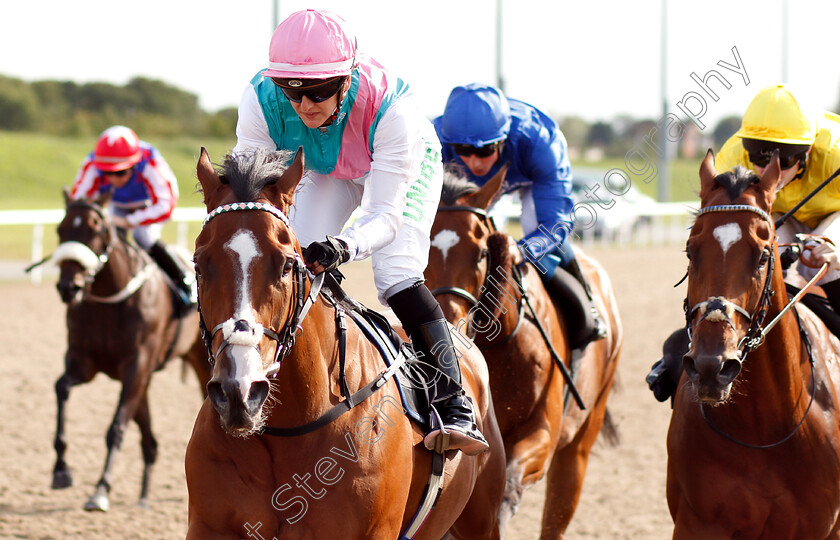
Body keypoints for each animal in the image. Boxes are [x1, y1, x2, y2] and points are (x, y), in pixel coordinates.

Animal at [51, 189, 212, 510]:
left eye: (96, 228)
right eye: (60, 230)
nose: (68, 287)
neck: (109, 300)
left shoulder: (136, 365)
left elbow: (116, 427)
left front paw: (101, 489)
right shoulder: (83, 361)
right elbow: (61, 388)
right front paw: (61, 469)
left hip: (200, 362)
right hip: (145, 381)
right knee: (150, 443)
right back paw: (143, 497)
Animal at [185, 148, 506, 540]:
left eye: (287, 265)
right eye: (200, 265)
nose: (238, 391)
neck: (288, 428)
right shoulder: (209, 525)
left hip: (483, 520)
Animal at [426, 167, 624, 536]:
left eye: (480, 253)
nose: (448, 322)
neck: (497, 348)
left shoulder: (541, 431)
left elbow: (510, 484)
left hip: (580, 440)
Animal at [668, 150, 840, 536]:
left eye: (763, 255)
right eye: (689, 251)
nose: (711, 366)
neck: (764, 429)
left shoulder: (818, 527)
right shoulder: (699, 523)